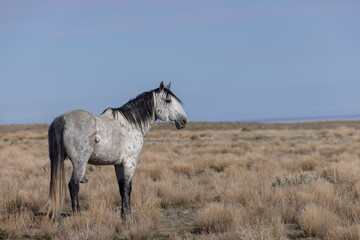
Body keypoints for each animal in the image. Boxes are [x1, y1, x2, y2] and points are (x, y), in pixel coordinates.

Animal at [41, 82, 187, 221]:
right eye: (168, 100)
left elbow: (122, 188)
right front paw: (128, 216)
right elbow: (128, 188)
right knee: (74, 186)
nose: (184, 120)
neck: (131, 124)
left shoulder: (118, 164)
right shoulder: (130, 162)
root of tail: (62, 119)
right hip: (80, 163)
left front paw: (123, 214)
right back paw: (77, 215)